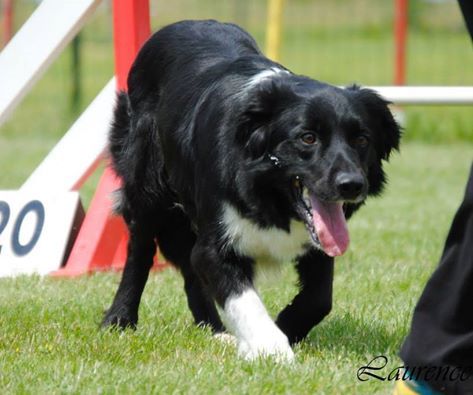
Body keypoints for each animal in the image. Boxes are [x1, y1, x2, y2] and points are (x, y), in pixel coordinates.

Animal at [102, 20, 398, 362]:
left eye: (361, 139)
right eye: (307, 138)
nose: (351, 185)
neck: (268, 193)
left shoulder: (316, 244)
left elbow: (319, 298)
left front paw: (285, 328)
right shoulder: (216, 242)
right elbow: (242, 296)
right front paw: (272, 348)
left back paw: (214, 331)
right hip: (146, 184)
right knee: (140, 251)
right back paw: (119, 319)